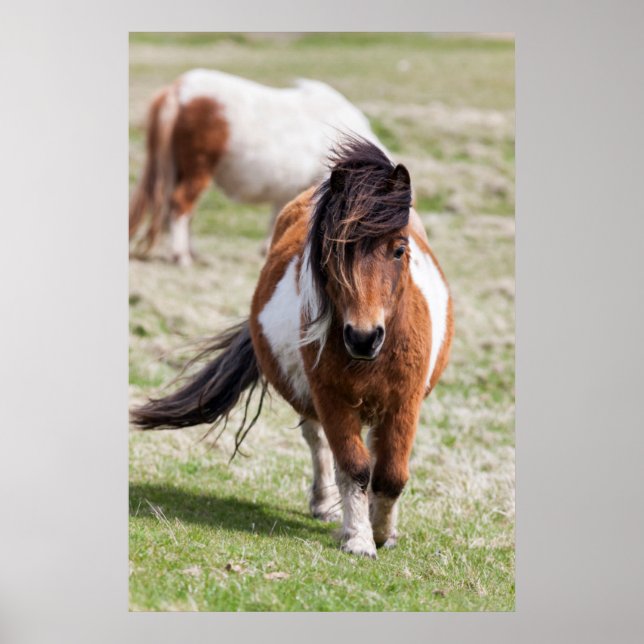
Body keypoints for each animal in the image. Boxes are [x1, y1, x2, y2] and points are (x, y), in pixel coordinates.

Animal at [131, 137, 454, 558]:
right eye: (334, 252)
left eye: (399, 250)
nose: (363, 337)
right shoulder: (332, 399)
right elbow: (354, 467)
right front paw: (359, 538)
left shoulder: (404, 403)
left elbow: (391, 475)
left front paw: (383, 532)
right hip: (310, 400)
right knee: (319, 444)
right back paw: (325, 504)